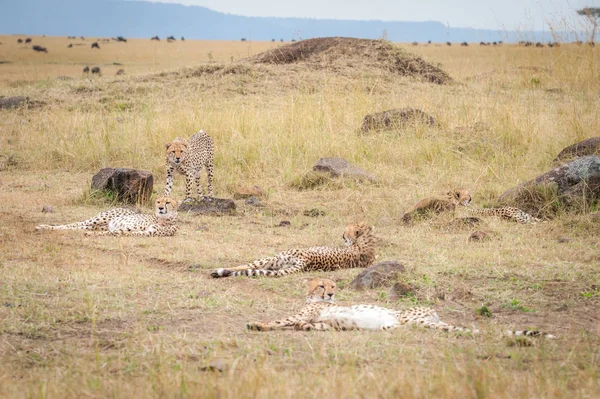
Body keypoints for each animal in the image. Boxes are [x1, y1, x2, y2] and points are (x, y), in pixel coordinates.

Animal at [36, 198, 178, 238]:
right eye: (158, 202)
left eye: (167, 202)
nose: (160, 208)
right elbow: (113, 232)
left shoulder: (147, 232)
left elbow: (117, 233)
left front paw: (91, 234)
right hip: (99, 219)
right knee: (73, 224)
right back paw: (42, 226)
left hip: (95, 224)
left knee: (75, 227)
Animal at [211, 223, 376, 280]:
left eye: (347, 230)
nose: (342, 235)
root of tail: (306, 261)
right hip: (278, 264)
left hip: (275, 258)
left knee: (246, 266)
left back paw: (219, 271)